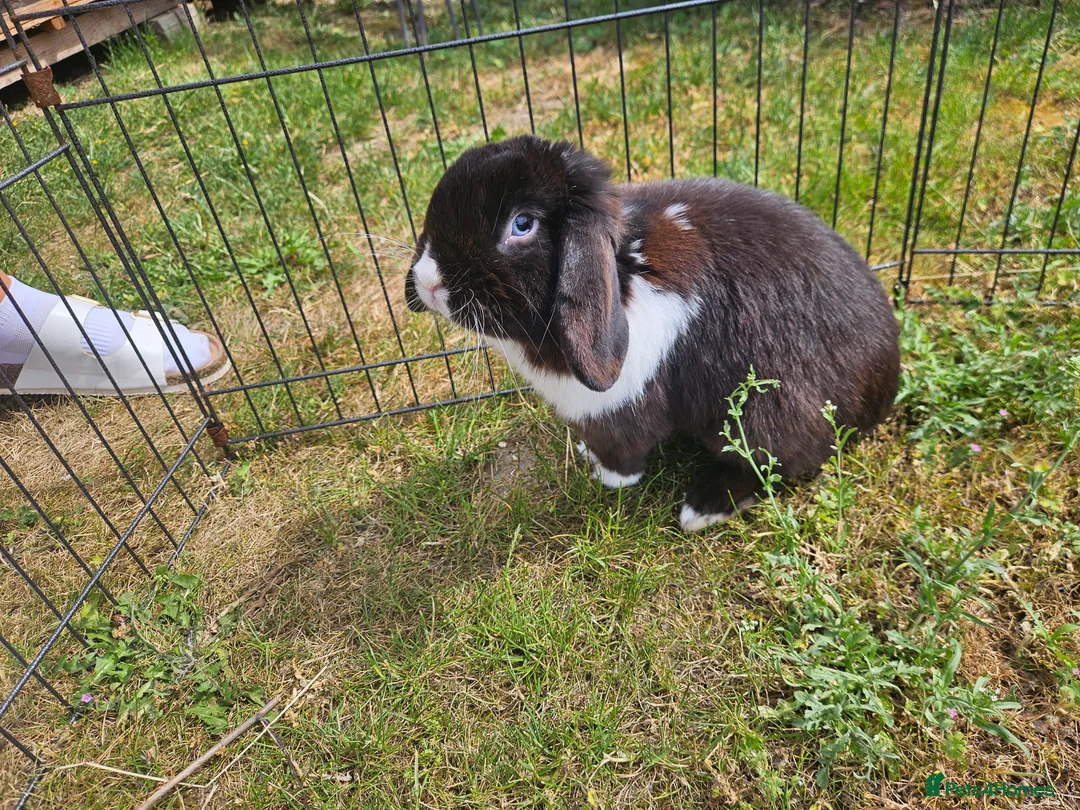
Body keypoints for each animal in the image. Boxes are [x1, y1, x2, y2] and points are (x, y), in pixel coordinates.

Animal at [405, 135, 900, 531]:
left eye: (522, 224)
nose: (429, 281)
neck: (624, 272)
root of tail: (883, 389)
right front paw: (584, 454)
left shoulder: (618, 412)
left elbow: (623, 455)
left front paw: (605, 476)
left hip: (765, 414)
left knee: (776, 466)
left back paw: (702, 508)